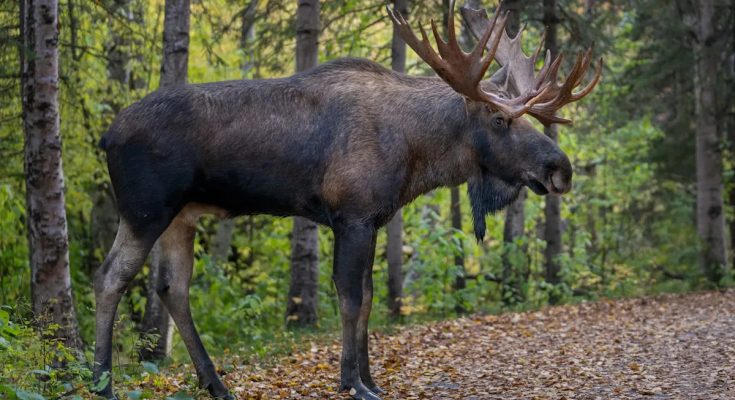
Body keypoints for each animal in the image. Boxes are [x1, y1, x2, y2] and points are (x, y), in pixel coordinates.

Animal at [92, 1, 601, 399]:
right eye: (499, 119)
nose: (561, 168)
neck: (416, 153)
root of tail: (106, 136)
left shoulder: (374, 219)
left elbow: (371, 297)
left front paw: (370, 379)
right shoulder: (350, 215)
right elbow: (351, 297)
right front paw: (353, 383)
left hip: (183, 215)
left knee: (172, 288)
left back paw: (215, 384)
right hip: (146, 208)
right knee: (110, 276)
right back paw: (103, 383)